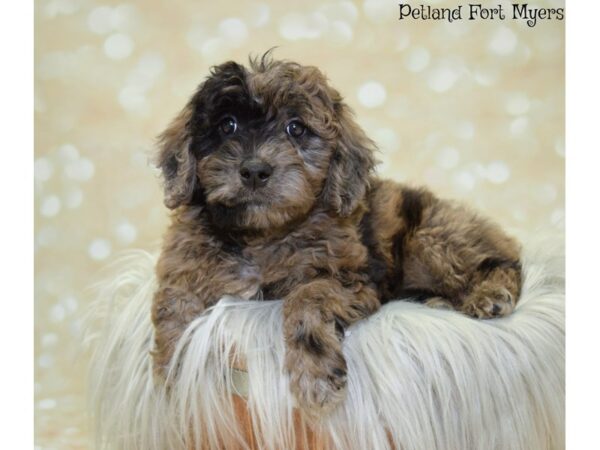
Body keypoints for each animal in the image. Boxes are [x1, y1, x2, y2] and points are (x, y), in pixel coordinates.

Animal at [151, 54, 520, 416]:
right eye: (227, 125)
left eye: (296, 128)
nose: (255, 170)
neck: (261, 234)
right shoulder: (184, 267)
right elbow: (170, 306)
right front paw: (175, 376)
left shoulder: (350, 280)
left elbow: (306, 297)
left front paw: (315, 381)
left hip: (432, 238)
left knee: (504, 262)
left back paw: (489, 295)